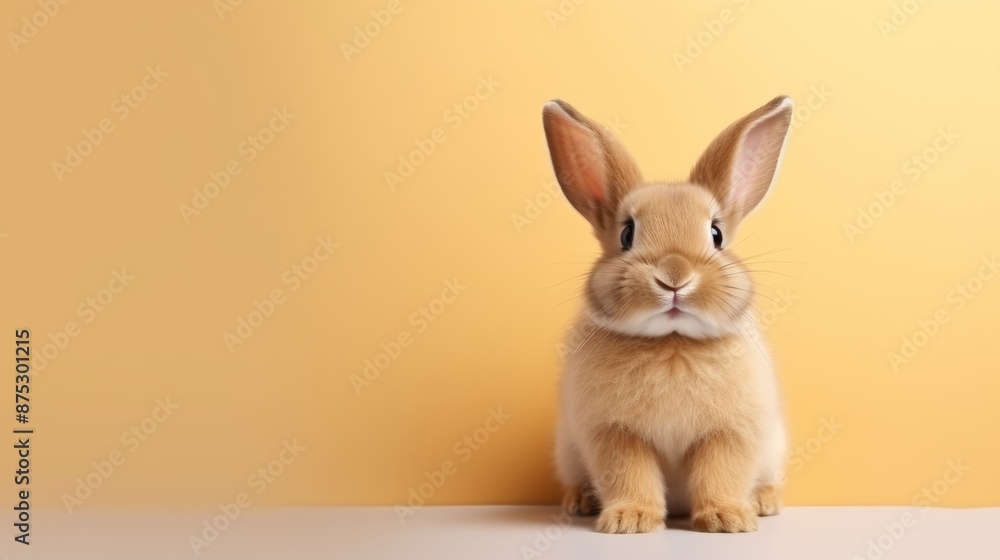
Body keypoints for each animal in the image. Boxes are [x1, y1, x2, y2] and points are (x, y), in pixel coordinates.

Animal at [542, 96, 793, 534]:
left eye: (716, 235)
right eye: (626, 234)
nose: (674, 276)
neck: (672, 342)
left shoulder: (730, 434)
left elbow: (721, 473)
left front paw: (727, 519)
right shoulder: (615, 435)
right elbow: (629, 475)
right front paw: (630, 520)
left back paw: (765, 501)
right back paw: (580, 502)